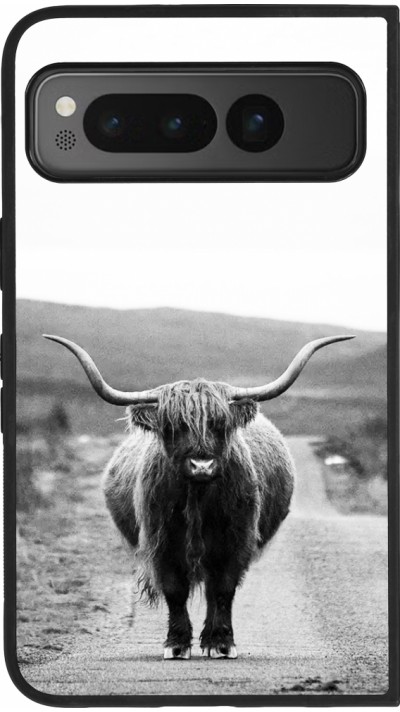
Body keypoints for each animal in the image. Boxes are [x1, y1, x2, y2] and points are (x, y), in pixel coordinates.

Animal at [44, 333, 353, 660]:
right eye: (173, 426)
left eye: (220, 424)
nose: (201, 465)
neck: (198, 498)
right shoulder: (162, 542)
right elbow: (175, 590)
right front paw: (176, 644)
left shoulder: (236, 541)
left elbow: (223, 589)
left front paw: (221, 642)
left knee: (212, 590)